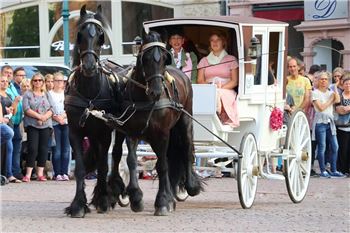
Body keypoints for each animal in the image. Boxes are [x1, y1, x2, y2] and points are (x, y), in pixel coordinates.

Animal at [64, 5, 126, 217]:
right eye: (80, 35)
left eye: (100, 35)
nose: (90, 66)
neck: (89, 93)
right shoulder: (75, 132)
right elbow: (81, 169)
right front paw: (77, 204)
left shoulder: (105, 133)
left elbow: (103, 165)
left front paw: (103, 199)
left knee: (115, 155)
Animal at [101, 30, 202, 216]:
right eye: (145, 58)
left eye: (163, 58)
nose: (156, 91)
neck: (146, 100)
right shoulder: (132, 132)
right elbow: (132, 161)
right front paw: (135, 197)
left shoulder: (162, 134)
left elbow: (162, 165)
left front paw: (162, 202)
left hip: (184, 122)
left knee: (186, 148)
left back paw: (189, 187)